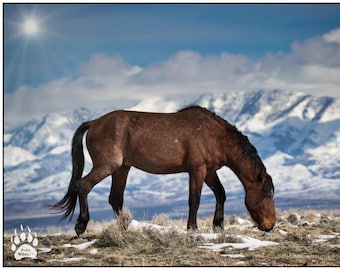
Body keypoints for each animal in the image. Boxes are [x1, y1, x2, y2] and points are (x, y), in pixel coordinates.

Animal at [49, 106, 276, 236]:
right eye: (268, 194)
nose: (270, 225)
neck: (214, 135)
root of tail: (94, 123)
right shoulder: (197, 170)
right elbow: (194, 200)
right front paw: (192, 229)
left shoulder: (209, 171)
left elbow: (221, 193)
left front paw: (218, 226)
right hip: (108, 165)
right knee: (83, 185)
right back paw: (81, 226)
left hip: (122, 168)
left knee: (115, 198)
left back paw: (125, 229)